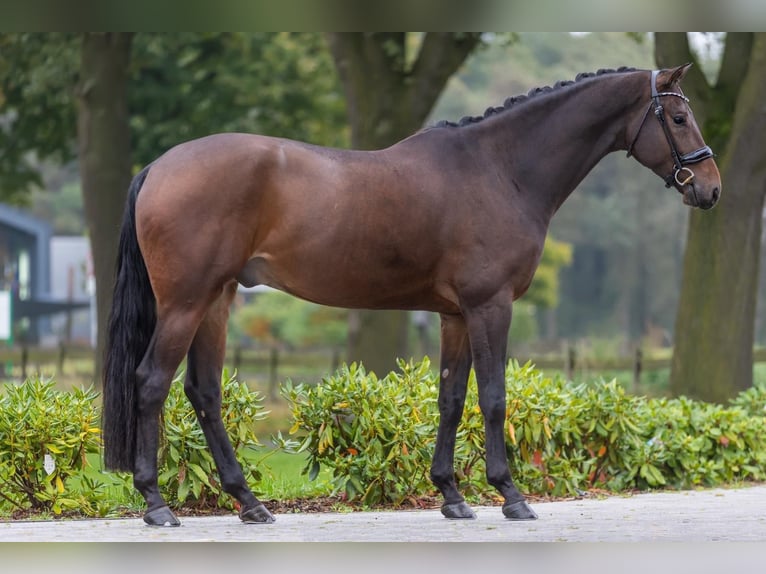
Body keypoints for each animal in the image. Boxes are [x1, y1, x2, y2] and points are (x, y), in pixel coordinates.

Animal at [103, 63, 728, 528]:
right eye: (678, 117)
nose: (710, 188)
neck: (501, 169)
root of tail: (158, 166)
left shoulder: (455, 315)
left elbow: (451, 399)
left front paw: (452, 496)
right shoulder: (491, 306)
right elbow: (493, 398)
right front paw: (511, 495)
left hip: (217, 299)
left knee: (204, 392)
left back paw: (250, 504)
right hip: (186, 303)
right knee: (151, 382)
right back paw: (156, 505)